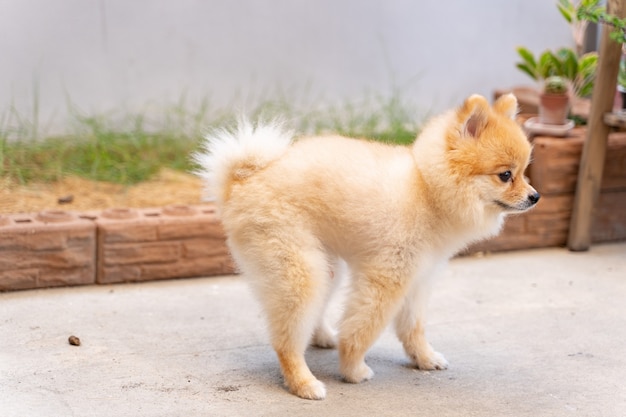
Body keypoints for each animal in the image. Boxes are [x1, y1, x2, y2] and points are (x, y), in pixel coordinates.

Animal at [194, 94, 536, 400]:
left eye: (525, 172)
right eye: (506, 175)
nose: (535, 196)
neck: (427, 191)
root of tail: (243, 180)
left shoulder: (418, 278)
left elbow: (413, 327)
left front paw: (423, 358)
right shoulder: (387, 276)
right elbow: (364, 328)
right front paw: (353, 369)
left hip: (326, 265)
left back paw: (322, 337)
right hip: (300, 270)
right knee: (286, 338)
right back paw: (303, 383)